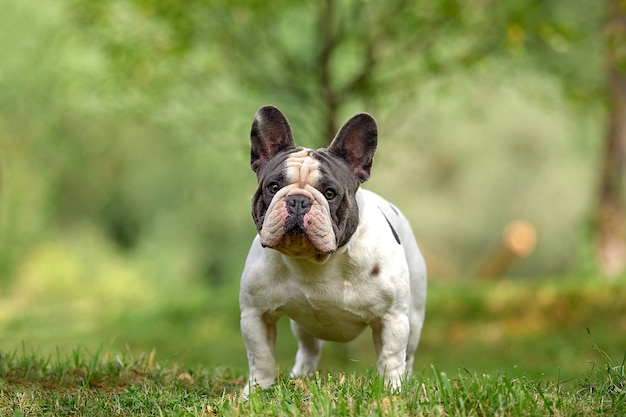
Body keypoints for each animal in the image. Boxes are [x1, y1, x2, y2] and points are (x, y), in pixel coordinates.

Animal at [238, 105, 424, 394]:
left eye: (330, 193)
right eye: (273, 187)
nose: (298, 200)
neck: (316, 262)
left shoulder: (392, 317)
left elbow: (392, 357)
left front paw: (391, 391)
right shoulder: (256, 314)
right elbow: (261, 357)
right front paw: (257, 390)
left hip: (413, 317)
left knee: (409, 354)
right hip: (303, 326)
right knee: (308, 349)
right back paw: (300, 376)